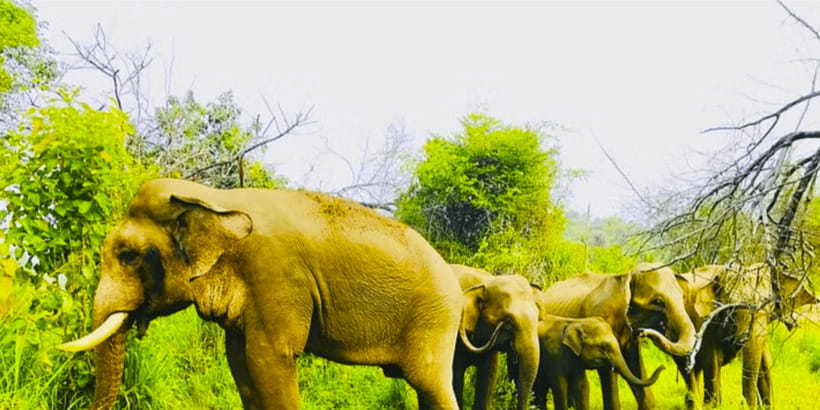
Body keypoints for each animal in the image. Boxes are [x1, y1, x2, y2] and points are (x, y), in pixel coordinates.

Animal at [57, 178, 465, 410]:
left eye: (127, 255)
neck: (214, 199)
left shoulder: (276, 274)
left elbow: (269, 358)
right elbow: (239, 359)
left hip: (434, 321)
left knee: (432, 384)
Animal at [533, 314, 665, 410]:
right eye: (603, 347)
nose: (663, 367)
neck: (576, 322)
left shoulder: (577, 359)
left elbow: (582, 385)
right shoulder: (554, 355)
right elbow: (560, 384)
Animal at [674, 263, 819, 409]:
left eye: (770, 307)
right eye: (732, 309)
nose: (743, 403)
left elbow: (764, 362)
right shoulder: (705, 320)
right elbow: (712, 360)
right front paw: (713, 406)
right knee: (687, 369)